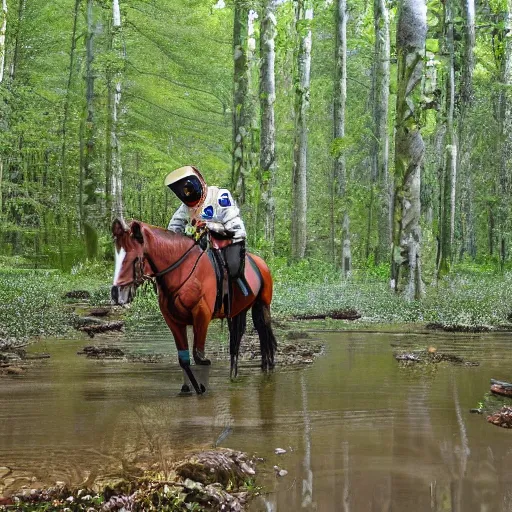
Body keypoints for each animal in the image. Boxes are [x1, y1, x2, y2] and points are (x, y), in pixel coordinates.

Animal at [109, 218, 276, 394]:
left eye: (134, 258)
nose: (116, 293)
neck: (183, 272)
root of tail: (261, 263)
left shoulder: (201, 316)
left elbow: (199, 357)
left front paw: (202, 388)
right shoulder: (173, 322)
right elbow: (184, 359)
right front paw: (187, 388)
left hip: (263, 305)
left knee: (262, 333)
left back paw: (267, 369)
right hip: (240, 310)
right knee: (237, 340)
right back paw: (235, 375)